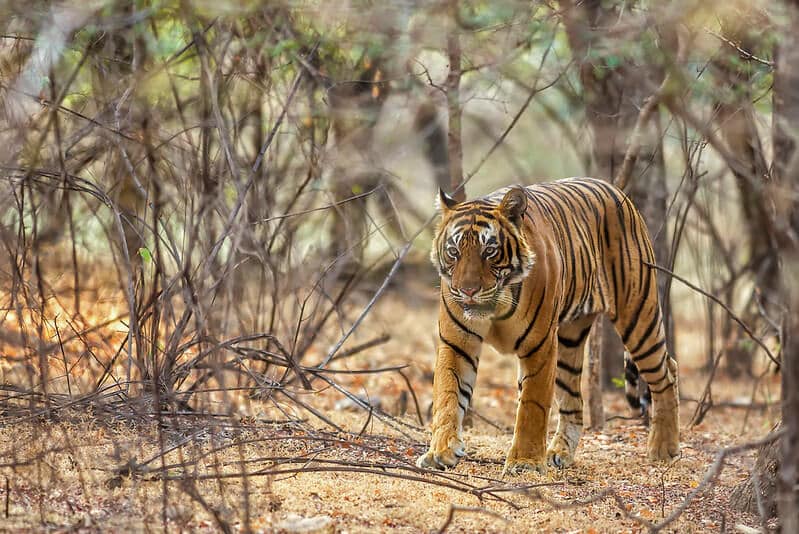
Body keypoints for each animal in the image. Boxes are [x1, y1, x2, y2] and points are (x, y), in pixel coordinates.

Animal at [418, 178, 680, 476]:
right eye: (454, 252)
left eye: (489, 251)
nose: (467, 291)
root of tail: (616, 190)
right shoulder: (456, 342)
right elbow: (447, 395)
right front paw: (440, 452)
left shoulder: (539, 345)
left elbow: (532, 405)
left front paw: (525, 462)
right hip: (570, 341)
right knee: (574, 400)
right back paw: (560, 453)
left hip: (637, 315)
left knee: (666, 373)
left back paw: (663, 449)